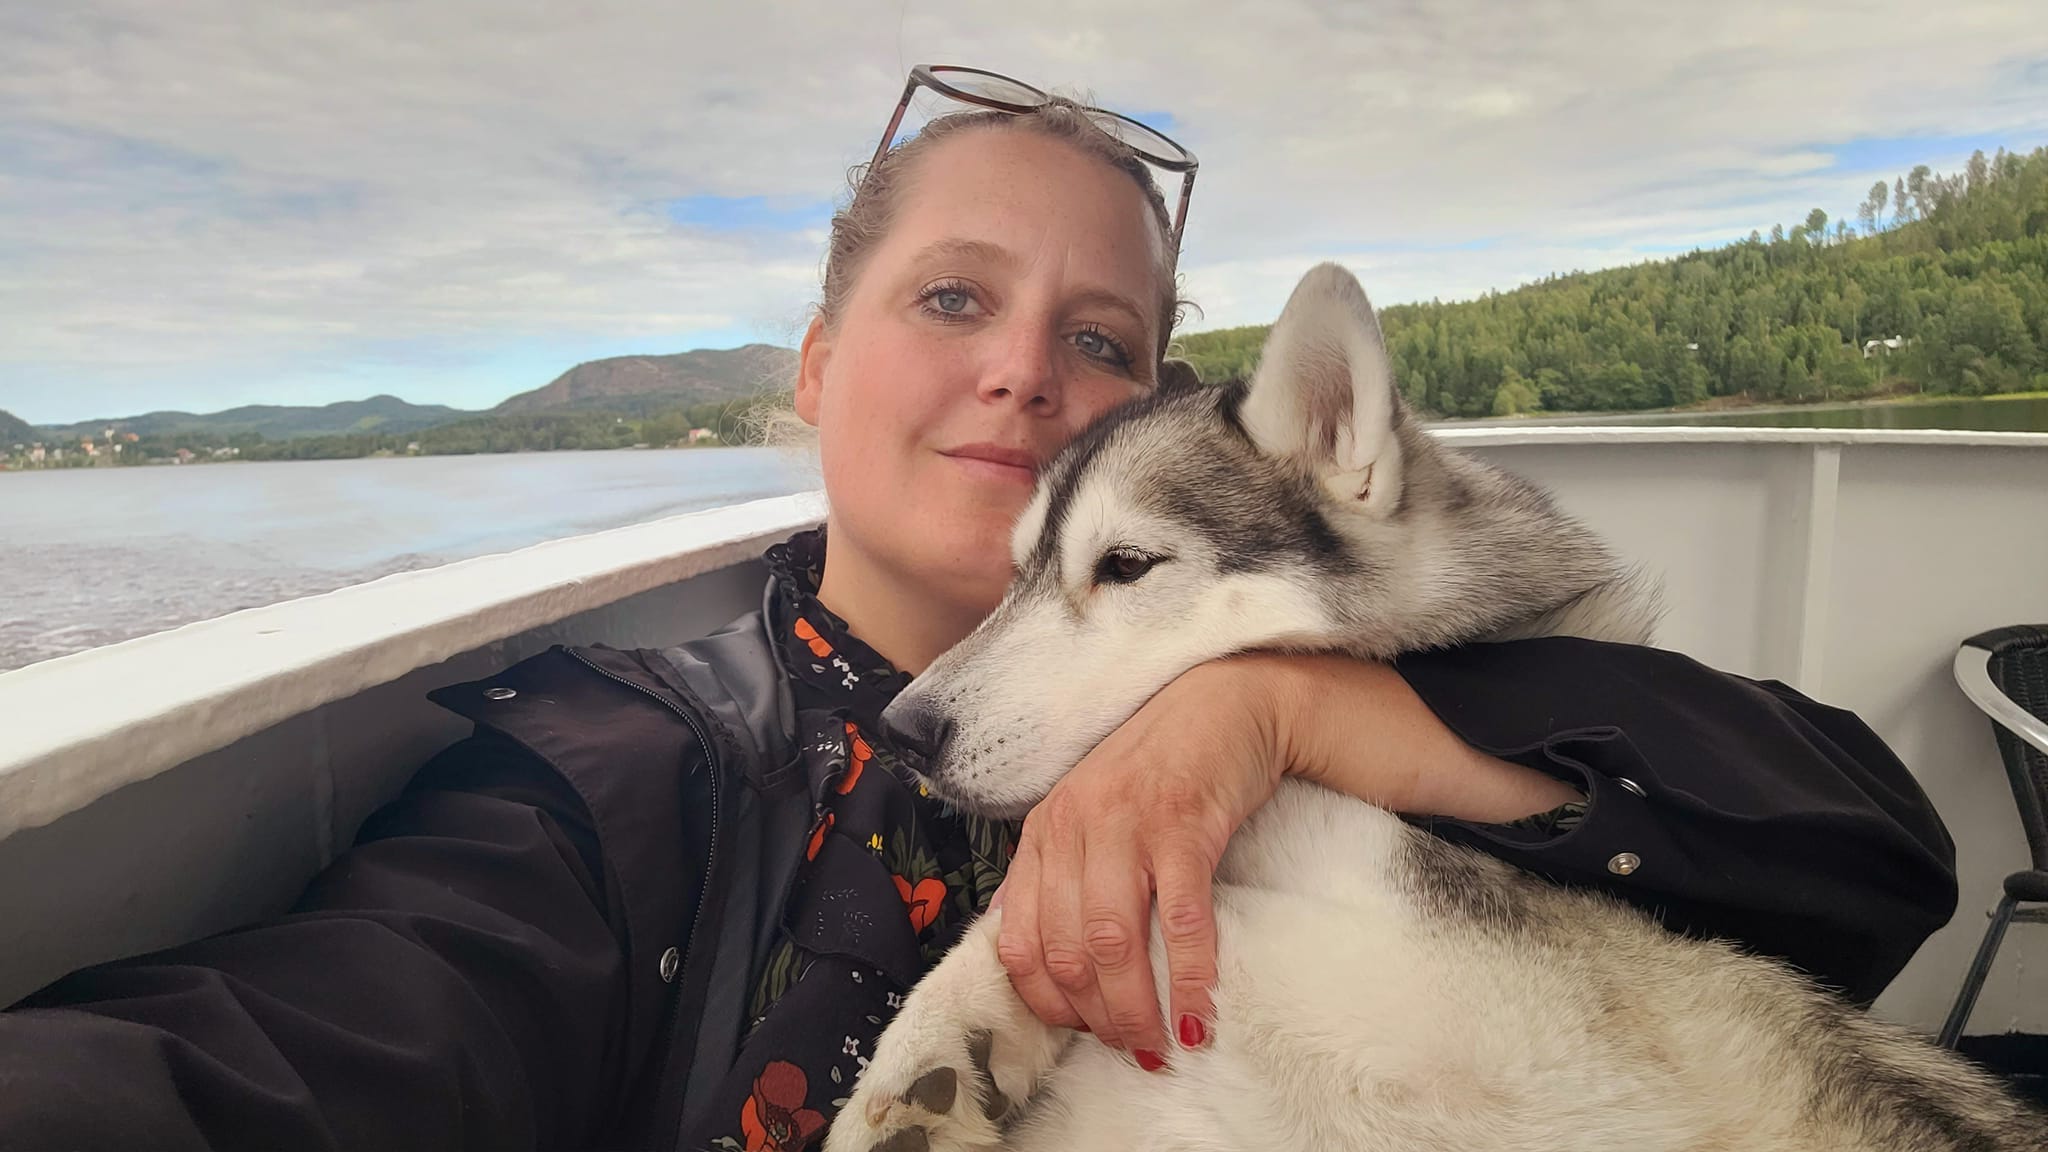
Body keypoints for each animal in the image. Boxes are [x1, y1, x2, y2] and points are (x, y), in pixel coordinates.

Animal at [821, 264, 2041, 1152]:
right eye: (1015, 571)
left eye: (1124, 566)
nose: (903, 729)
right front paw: (940, 1055)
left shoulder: (1473, 1002)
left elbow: (1157, 926)